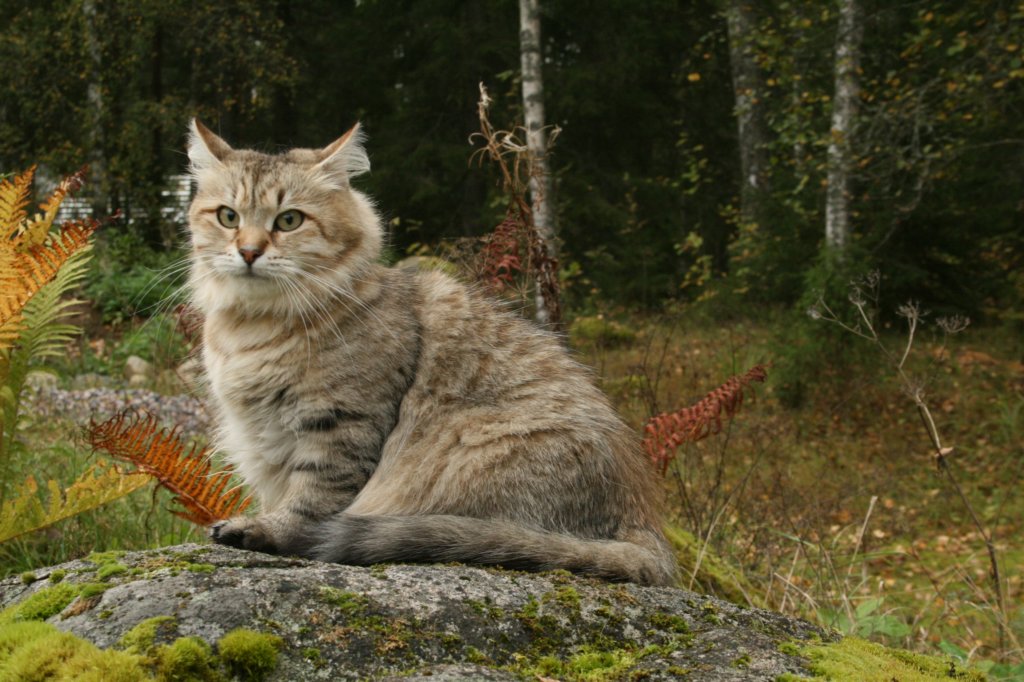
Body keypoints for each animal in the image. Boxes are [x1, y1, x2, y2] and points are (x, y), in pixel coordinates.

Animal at [185, 119, 678, 586]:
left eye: (289, 220)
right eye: (228, 217)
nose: (248, 251)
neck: (255, 328)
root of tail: (647, 529)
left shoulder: (343, 425)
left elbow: (309, 500)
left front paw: (268, 529)